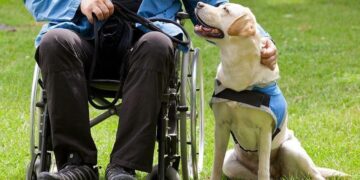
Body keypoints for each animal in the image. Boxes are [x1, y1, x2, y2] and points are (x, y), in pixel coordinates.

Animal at [194, 1, 348, 180]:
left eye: (225, 9)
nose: (199, 3)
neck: (237, 70)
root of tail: (279, 174)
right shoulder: (221, 125)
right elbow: (216, 166)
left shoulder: (265, 130)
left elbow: (263, 169)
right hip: (230, 163)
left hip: (291, 149)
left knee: (315, 175)